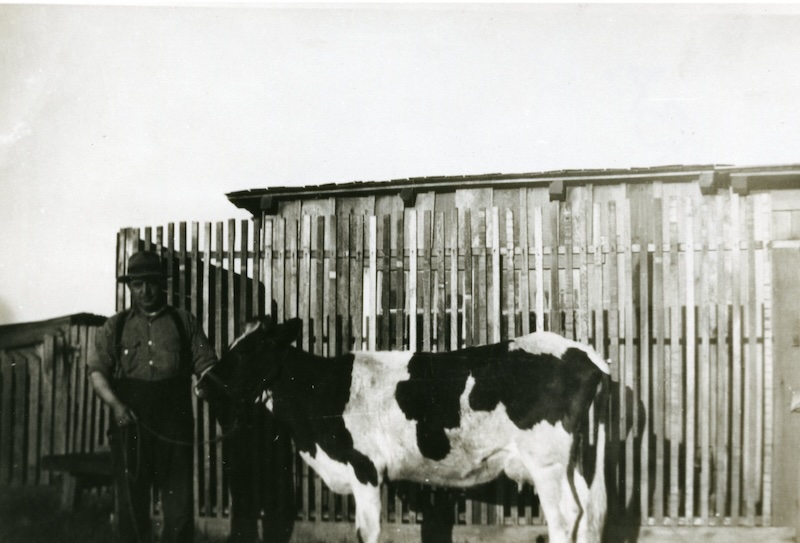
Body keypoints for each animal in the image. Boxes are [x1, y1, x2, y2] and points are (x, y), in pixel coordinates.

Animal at [198, 316, 608, 543]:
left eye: (249, 350)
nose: (202, 384)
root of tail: (584, 353)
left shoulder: (365, 468)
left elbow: (368, 531)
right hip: (569, 463)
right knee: (585, 513)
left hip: (546, 462)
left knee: (564, 518)